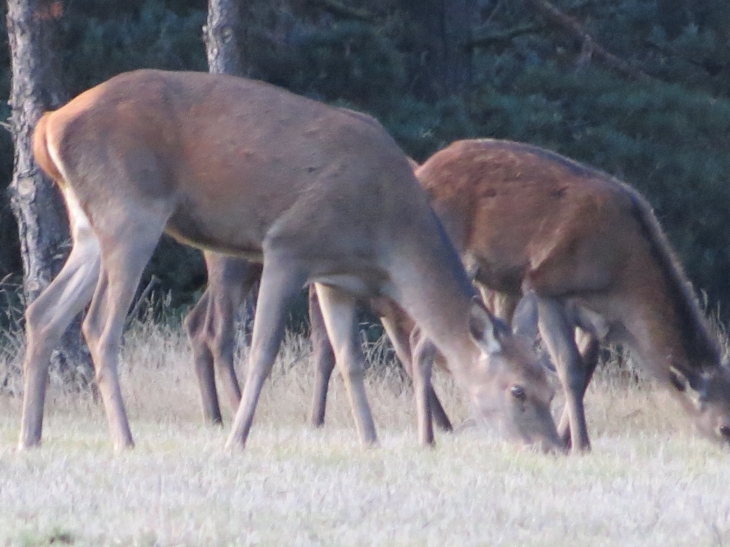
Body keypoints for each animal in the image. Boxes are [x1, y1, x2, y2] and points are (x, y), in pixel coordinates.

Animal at [21, 69, 556, 454]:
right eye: (517, 391)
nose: (552, 447)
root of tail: (49, 123)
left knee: (43, 312)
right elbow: (263, 351)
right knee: (99, 326)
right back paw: (124, 439)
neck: (386, 234)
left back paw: (31, 437)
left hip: (89, 225)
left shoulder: (335, 278)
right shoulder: (287, 246)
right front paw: (237, 440)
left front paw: (370, 440)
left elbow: (350, 360)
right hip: (132, 210)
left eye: (550, 388)